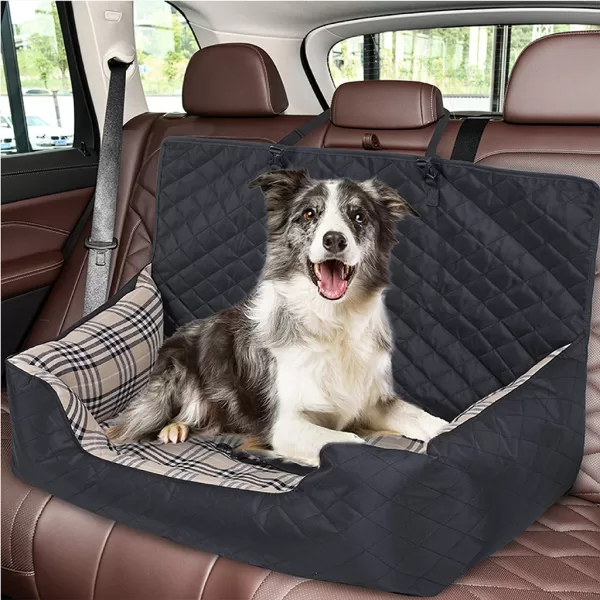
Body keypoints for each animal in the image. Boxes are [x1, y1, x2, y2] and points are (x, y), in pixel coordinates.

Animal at [106, 171, 446, 466]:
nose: (334, 240)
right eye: (309, 214)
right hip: (178, 370)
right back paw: (174, 427)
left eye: (359, 216)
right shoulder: (286, 424)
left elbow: (428, 421)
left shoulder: (372, 400)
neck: (333, 321)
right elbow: (353, 442)